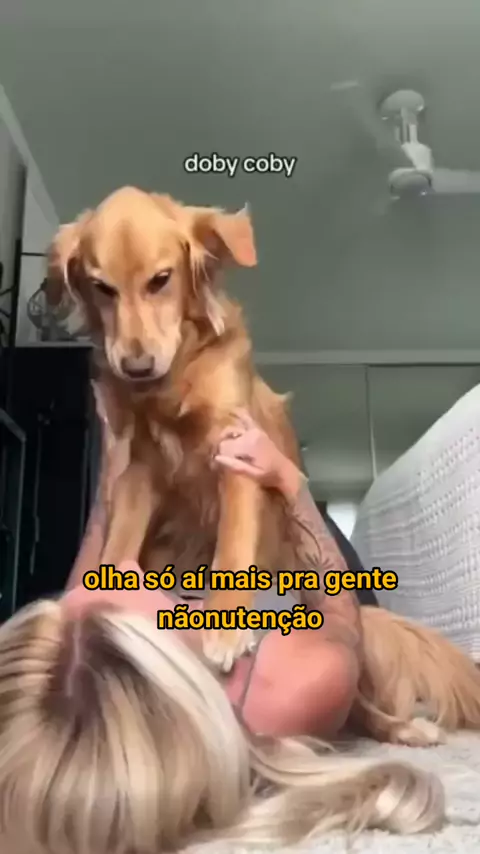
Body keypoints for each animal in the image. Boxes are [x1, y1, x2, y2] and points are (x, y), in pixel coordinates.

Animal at [47, 186, 480, 743]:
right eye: (102, 288)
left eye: (161, 280)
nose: (136, 367)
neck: (176, 378)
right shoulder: (140, 467)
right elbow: (119, 545)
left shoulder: (237, 447)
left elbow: (231, 548)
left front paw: (225, 627)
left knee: (359, 703)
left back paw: (402, 730)